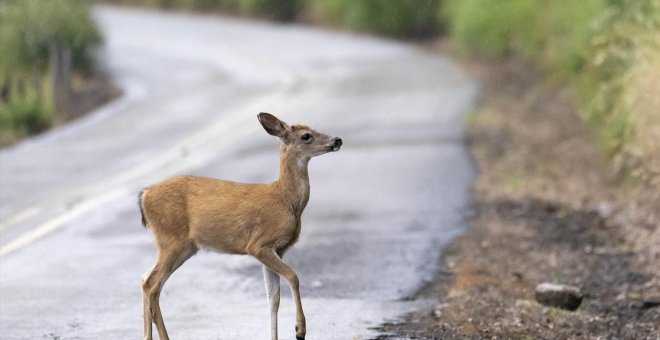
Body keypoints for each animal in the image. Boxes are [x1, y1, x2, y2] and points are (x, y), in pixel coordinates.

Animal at [140, 112, 346, 340]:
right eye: (306, 136)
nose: (337, 140)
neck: (286, 200)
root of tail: (145, 195)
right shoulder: (259, 244)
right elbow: (293, 277)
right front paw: (300, 329)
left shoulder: (278, 250)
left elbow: (273, 298)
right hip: (172, 239)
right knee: (152, 284)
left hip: (183, 246)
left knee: (145, 279)